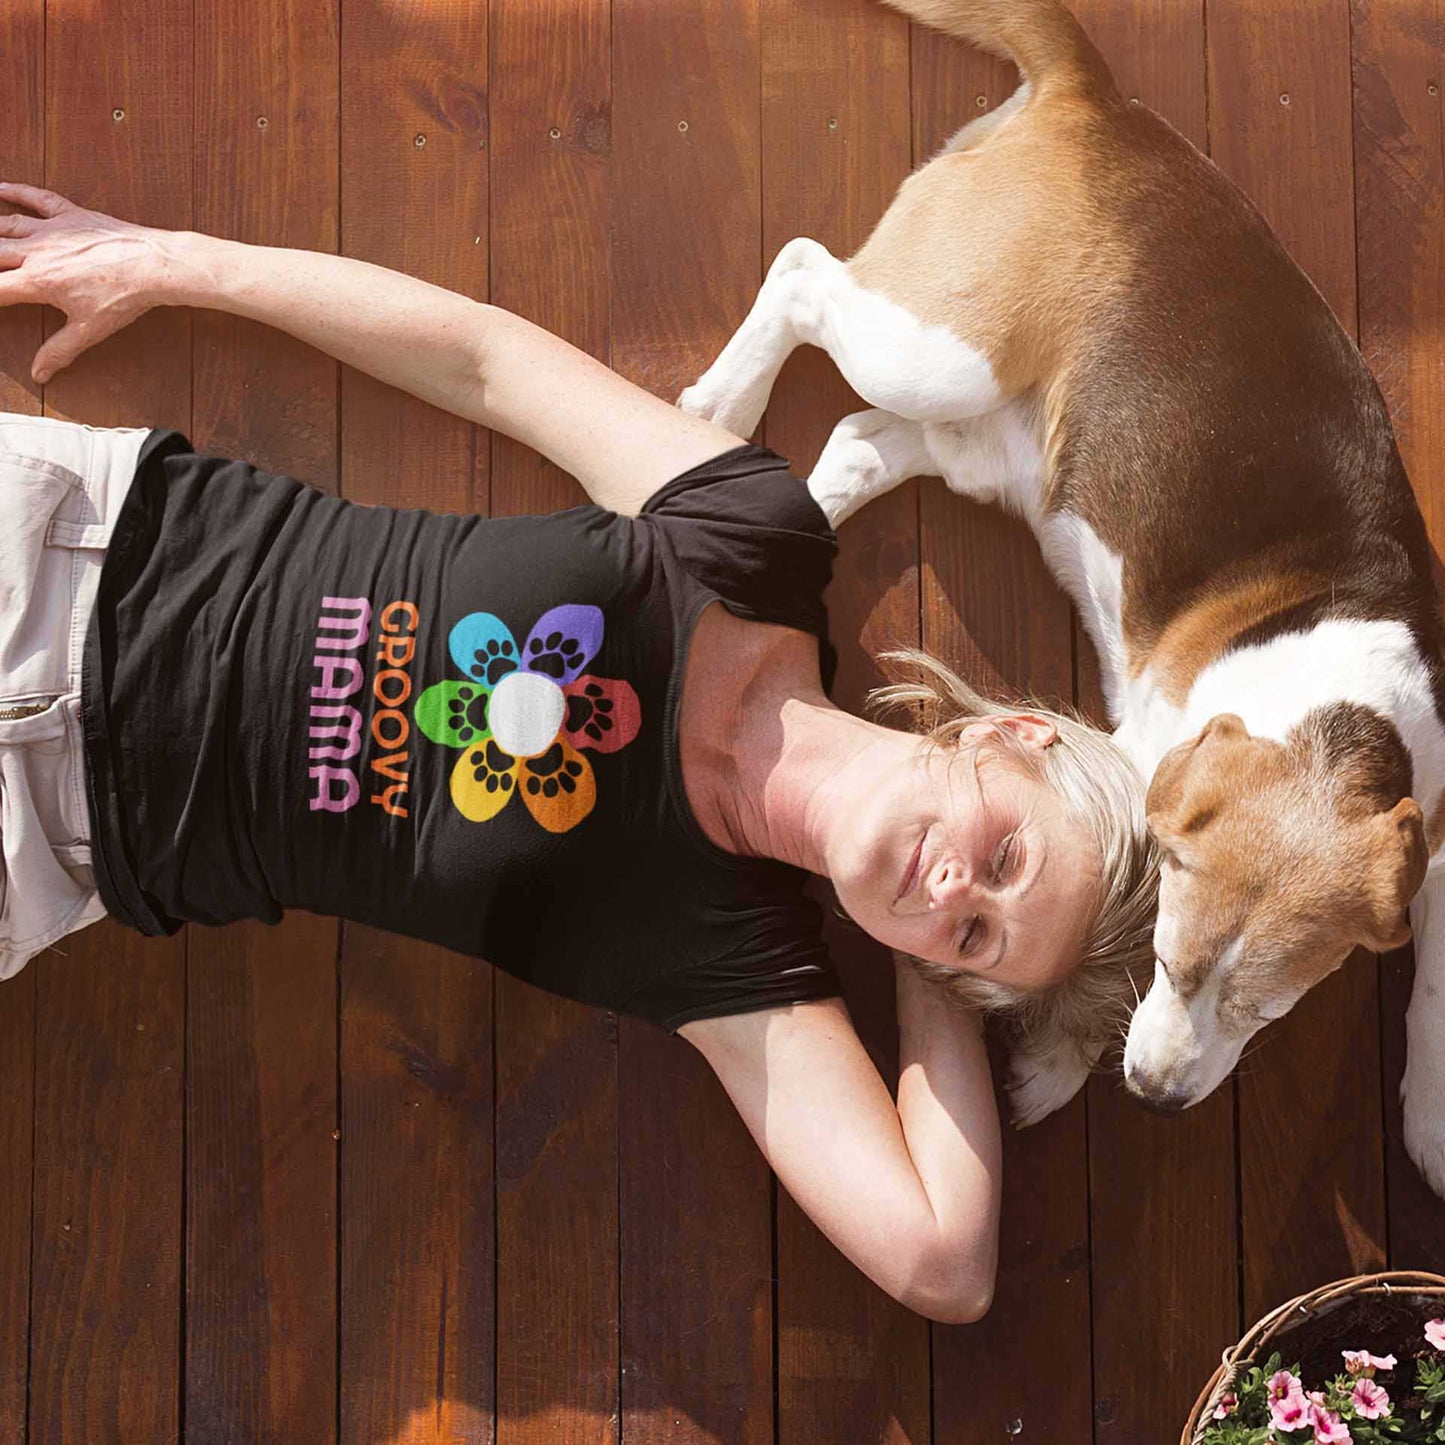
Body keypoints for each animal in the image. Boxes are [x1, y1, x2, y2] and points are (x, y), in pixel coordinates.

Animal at [676, 0, 1445, 1190]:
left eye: (1268, 1012)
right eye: (1167, 963)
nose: (1156, 1097)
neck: (1333, 721)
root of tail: (1102, 103)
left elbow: (1436, 988)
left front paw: (1429, 1114)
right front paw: (1054, 1063)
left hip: (985, 441)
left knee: (854, 444)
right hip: (938, 349)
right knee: (803, 271)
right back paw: (724, 399)